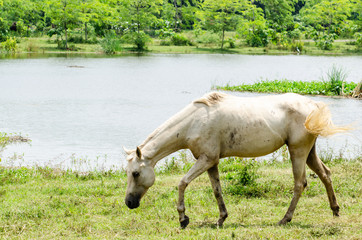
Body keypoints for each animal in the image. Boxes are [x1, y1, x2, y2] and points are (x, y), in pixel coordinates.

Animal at [123, 92, 348, 229]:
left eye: (136, 173)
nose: (129, 202)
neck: (194, 121)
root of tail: (313, 105)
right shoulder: (211, 162)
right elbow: (217, 190)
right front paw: (221, 218)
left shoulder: (206, 159)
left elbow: (182, 183)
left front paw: (183, 219)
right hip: (309, 153)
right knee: (325, 174)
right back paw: (335, 210)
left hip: (298, 152)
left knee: (300, 184)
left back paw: (285, 218)